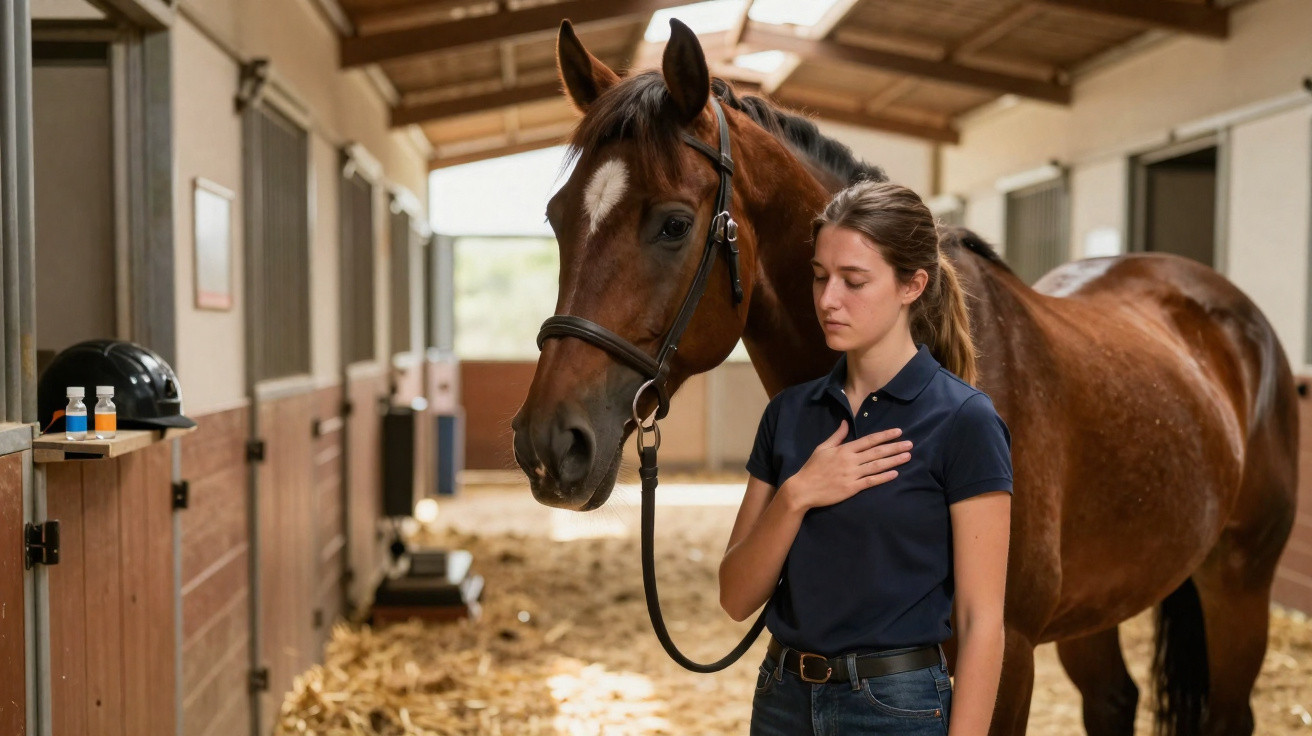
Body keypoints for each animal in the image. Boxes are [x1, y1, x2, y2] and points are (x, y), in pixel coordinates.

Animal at [509, 19, 1298, 736]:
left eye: (673, 224)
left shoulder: (1005, 652)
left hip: (1240, 580)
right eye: (556, 218)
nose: (547, 444)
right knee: (1113, 701)